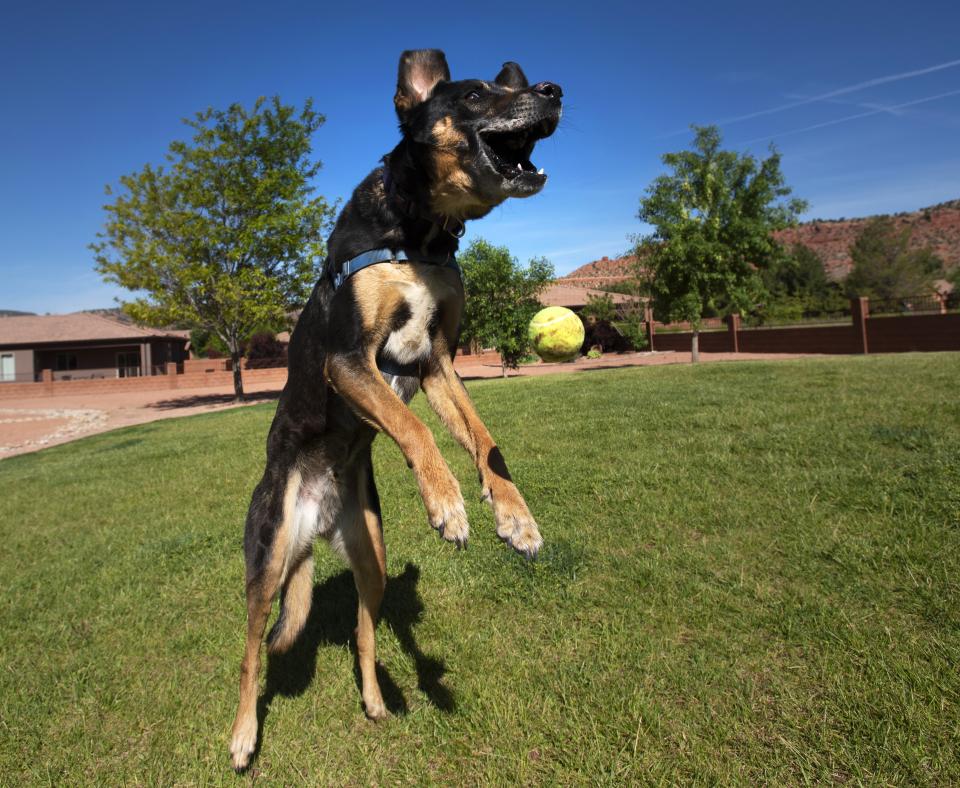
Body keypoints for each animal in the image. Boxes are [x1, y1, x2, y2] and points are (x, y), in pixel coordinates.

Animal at [230, 49, 564, 768]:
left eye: (520, 86)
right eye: (475, 95)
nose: (555, 91)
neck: (418, 232)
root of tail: (315, 522)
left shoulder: (436, 363)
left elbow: (484, 439)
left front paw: (514, 516)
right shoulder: (350, 361)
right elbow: (413, 428)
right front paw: (446, 501)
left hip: (373, 558)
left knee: (363, 631)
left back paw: (378, 698)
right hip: (266, 559)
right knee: (250, 651)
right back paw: (241, 735)